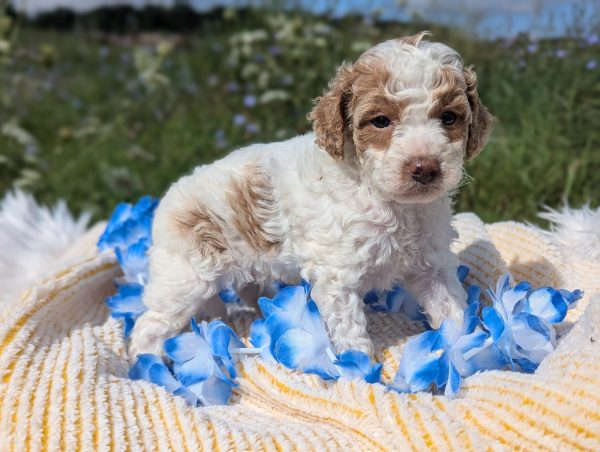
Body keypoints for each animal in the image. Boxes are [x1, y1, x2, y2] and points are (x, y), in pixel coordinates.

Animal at [127, 31, 492, 358]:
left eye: (448, 117)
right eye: (380, 121)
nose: (424, 167)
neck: (391, 203)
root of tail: (169, 197)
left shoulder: (433, 266)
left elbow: (452, 312)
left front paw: (466, 352)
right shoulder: (338, 278)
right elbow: (351, 333)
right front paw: (360, 370)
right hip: (184, 278)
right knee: (149, 326)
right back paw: (150, 365)